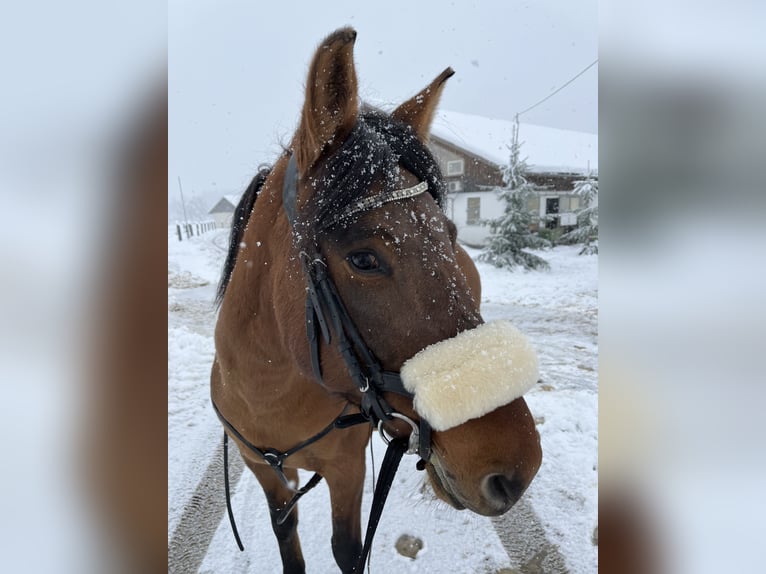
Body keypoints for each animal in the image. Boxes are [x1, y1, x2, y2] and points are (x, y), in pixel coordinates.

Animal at [213, 28, 544, 574]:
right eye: (364, 259)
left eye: (448, 233)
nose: (517, 469)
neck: (271, 395)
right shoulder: (264, 473)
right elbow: (288, 539)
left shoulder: (347, 470)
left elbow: (347, 550)